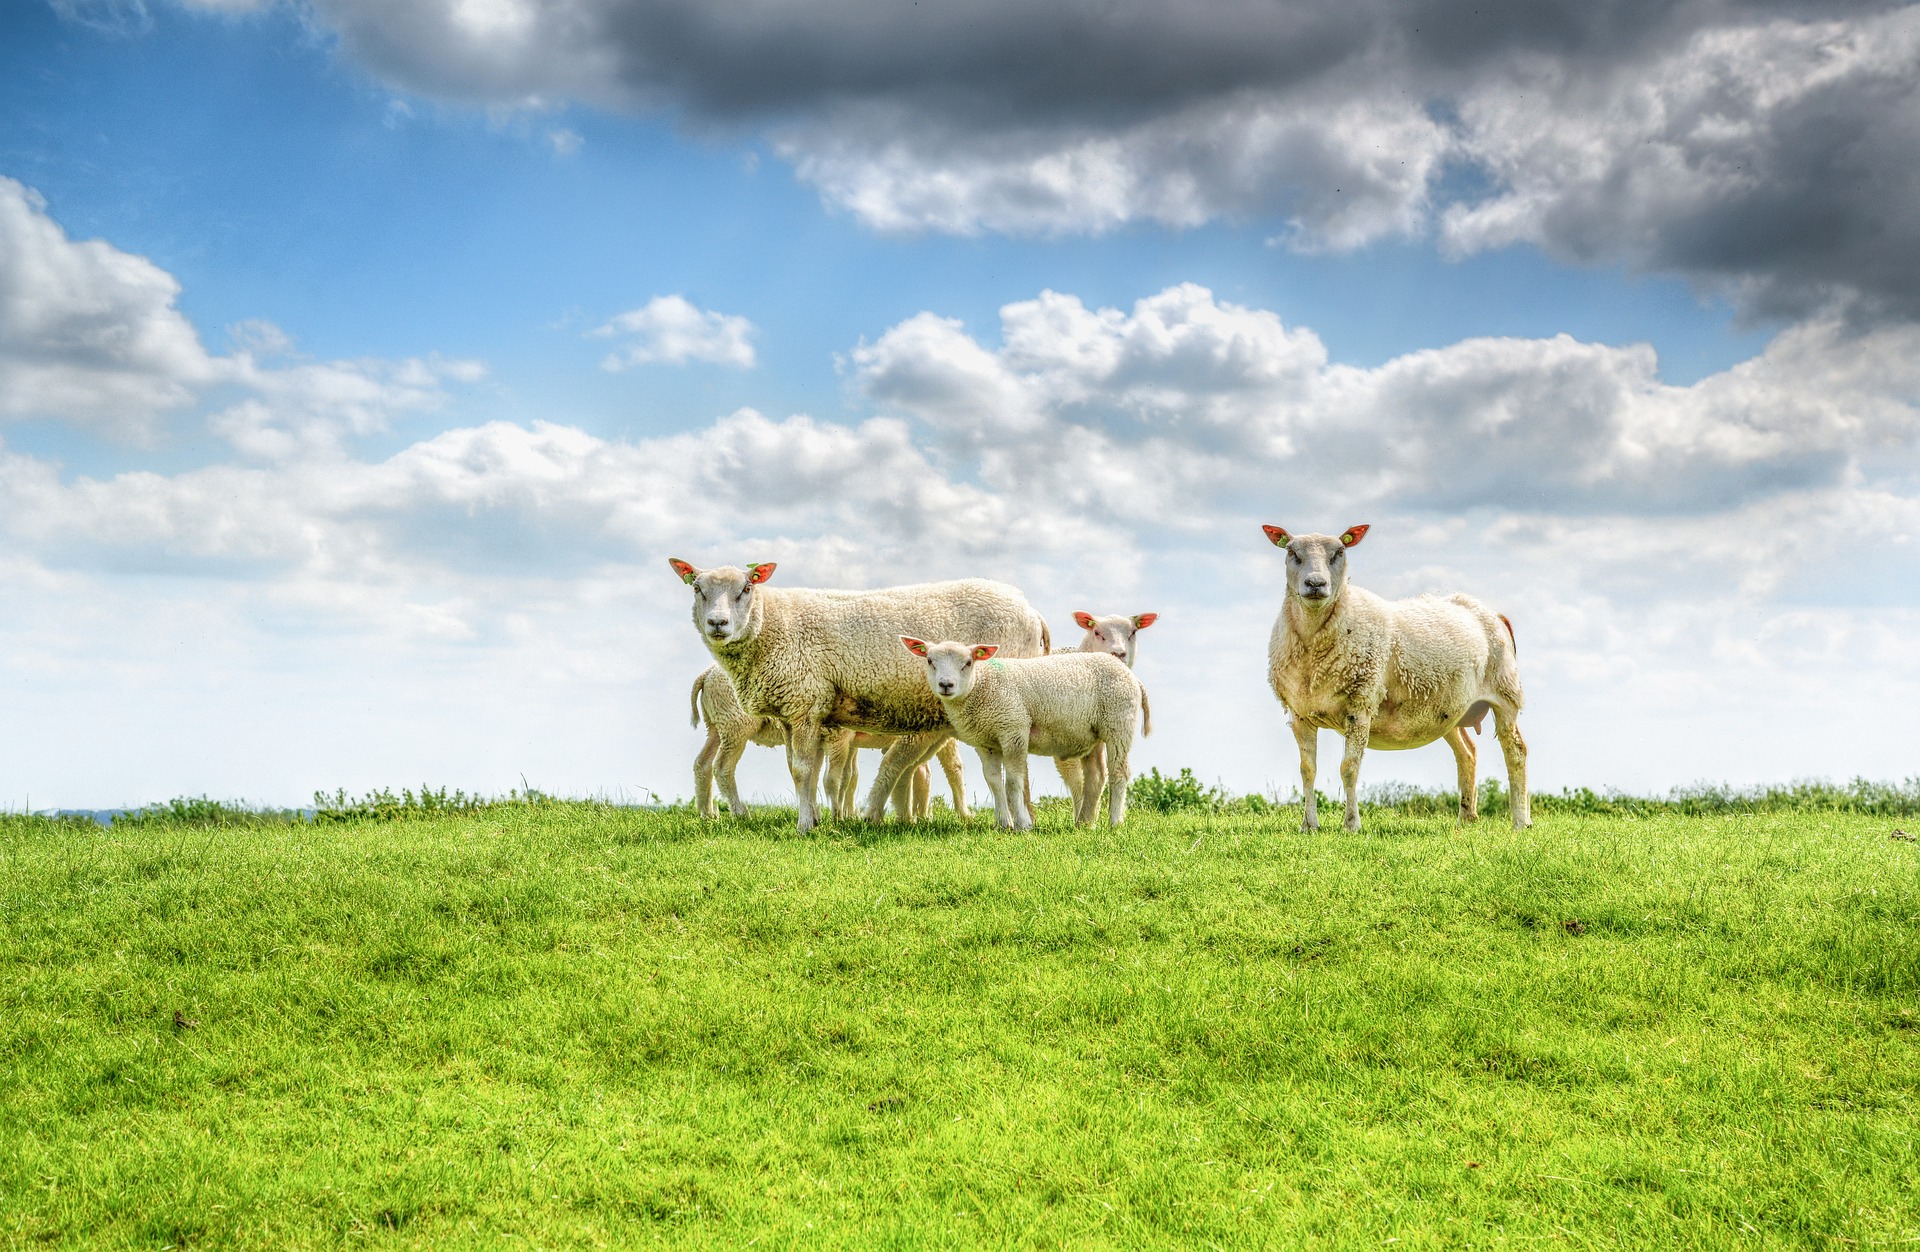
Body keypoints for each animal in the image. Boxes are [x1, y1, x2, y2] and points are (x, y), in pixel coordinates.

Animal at [668, 560, 1049, 830]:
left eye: (746, 588)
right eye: (697, 589)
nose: (718, 623)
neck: (774, 624)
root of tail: (1032, 611)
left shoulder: (806, 703)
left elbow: (805, 770)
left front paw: (805, 825)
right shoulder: (796, 710)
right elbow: (803, 770)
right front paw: (817, 818)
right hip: (727, 726)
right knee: (708, 765)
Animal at [901, 637, 1150, 829]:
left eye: (968, 662)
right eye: (930, 661)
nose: (946, 685)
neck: (983, 686)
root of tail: (1133, 677)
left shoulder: (1014, 728)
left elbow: (1013, 781)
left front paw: (1022, 824)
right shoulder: (985, 742)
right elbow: (993, 781)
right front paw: (1003, 823)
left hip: (1118, 722)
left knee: (1119, 772)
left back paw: (1114, 822)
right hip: (1093, 733)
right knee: (1096, 775)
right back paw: (1084, 823)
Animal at [1263, 524, 1528, 833]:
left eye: (1340, 552)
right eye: (1292, 552)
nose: (1315, 584)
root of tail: (1492, 612)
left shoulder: (1361, 704)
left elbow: (1349, 768)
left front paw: (1351, 825)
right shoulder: (1299, 713)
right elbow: (1308, 770)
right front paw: (1309, 825)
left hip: (1506, 693)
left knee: (1516, 752)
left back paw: (1521, 821)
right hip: (1449, 709)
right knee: (1467, 753)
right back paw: (1466, 818)